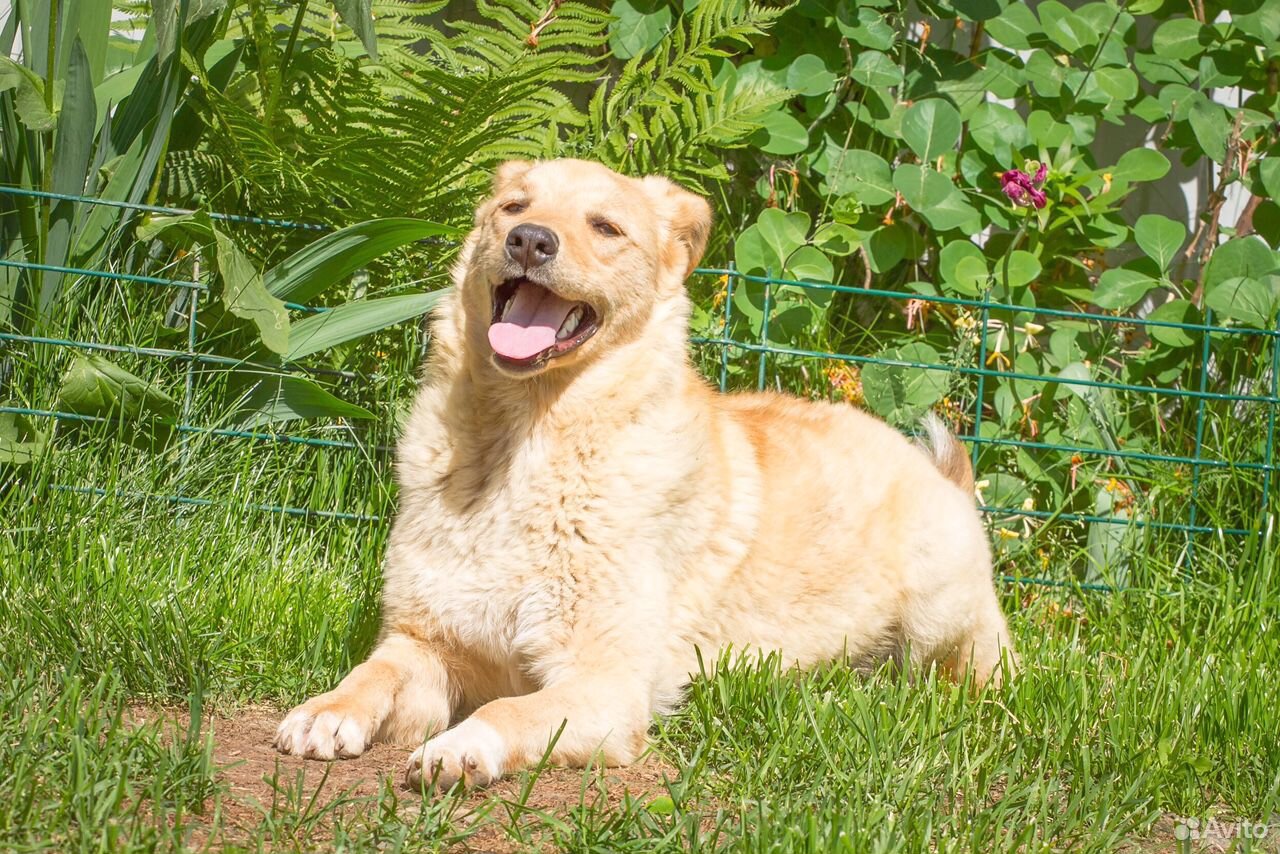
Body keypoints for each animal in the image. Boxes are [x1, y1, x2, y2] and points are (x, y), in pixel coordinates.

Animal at [275, 158, 1013, 788]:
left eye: (605, 227)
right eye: (515, 207)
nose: (529, 240)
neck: (522, 447)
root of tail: (941, 476)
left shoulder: (604, 686)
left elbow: (504, 711)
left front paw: (460, 747)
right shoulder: (425, 643)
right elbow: (371, 674)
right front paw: (326, 709)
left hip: (938, 613)